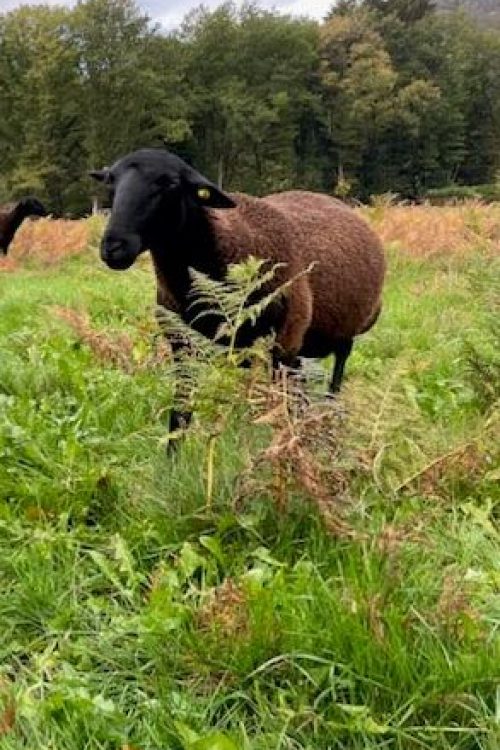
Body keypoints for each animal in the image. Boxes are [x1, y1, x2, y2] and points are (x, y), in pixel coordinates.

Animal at [90, 148, 384, 418]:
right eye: (111, 182)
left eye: (171, 183)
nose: (114, 246)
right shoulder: (182, 345)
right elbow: (180, 413)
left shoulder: (284, 342)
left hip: (339, 335)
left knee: (335, 377)